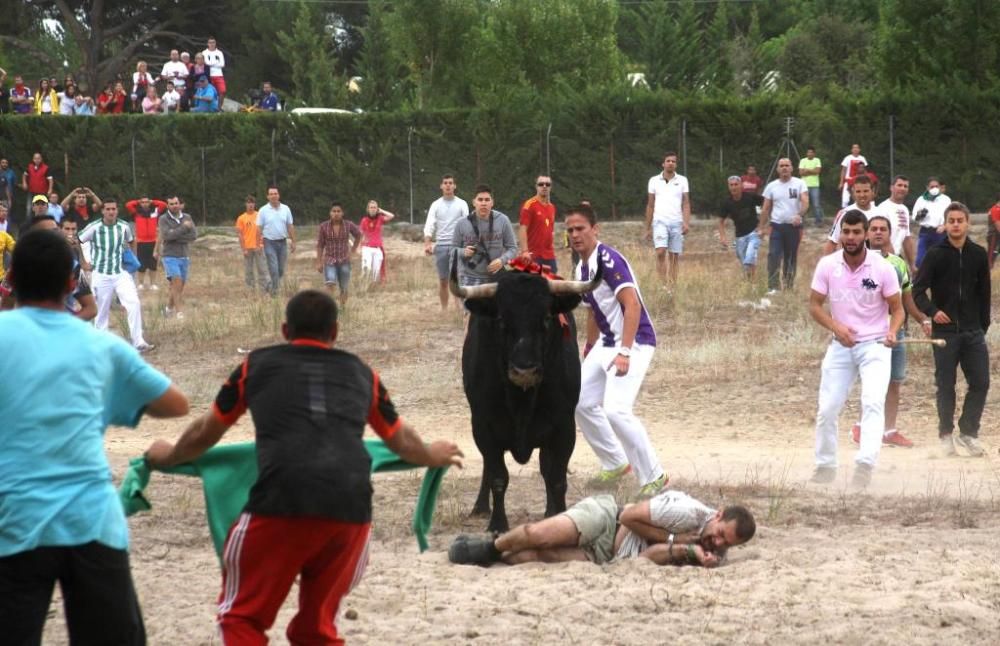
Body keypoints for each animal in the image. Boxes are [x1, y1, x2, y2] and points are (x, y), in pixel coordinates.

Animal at [452, 260, 600, 536]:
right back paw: (480, 507)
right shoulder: (483, 427)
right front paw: (497, 524)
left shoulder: (564, 428)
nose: (524, 371)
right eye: (501, 319)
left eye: (546, 317)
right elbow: (498, 476)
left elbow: (557, 478)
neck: (521, 402)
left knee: (546, 468)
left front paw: (559, 515)